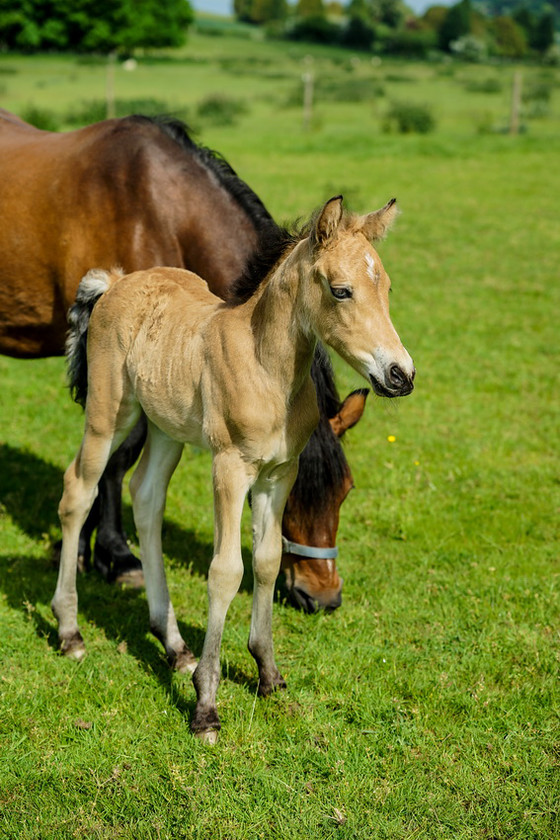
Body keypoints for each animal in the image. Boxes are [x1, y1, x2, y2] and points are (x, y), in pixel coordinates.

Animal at [52, 194, 414, 740]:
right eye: (341, 290)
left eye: (387, 288)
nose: (401, 374)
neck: (265, 367)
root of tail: (115, 282)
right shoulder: (230, 468)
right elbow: (226, 571)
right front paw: (205, 705)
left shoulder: (278, 473)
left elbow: (266, 560)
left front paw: (268, 674)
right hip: (109, 411)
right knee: (79, 490)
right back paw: (70, 631)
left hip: (166, 429)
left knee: (147, 498)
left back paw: (174, 645)